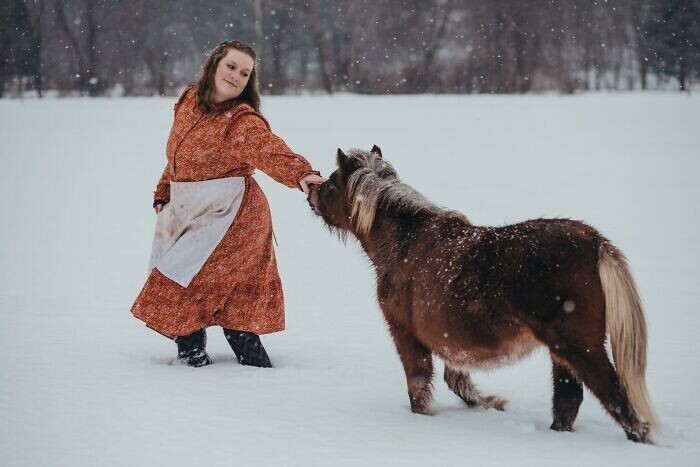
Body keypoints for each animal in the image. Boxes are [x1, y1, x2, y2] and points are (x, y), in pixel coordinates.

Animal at [308, 145, 660, 442]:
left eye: (331, 183)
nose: (310, 191)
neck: (404, 244)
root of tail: (594, 241)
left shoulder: (405, 334)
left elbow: (419, 386)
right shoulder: (449, 341)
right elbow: (457, 382)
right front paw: (491, 403)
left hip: (579, 347)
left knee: (617, 401)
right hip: (562, 353)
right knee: (568, 400)